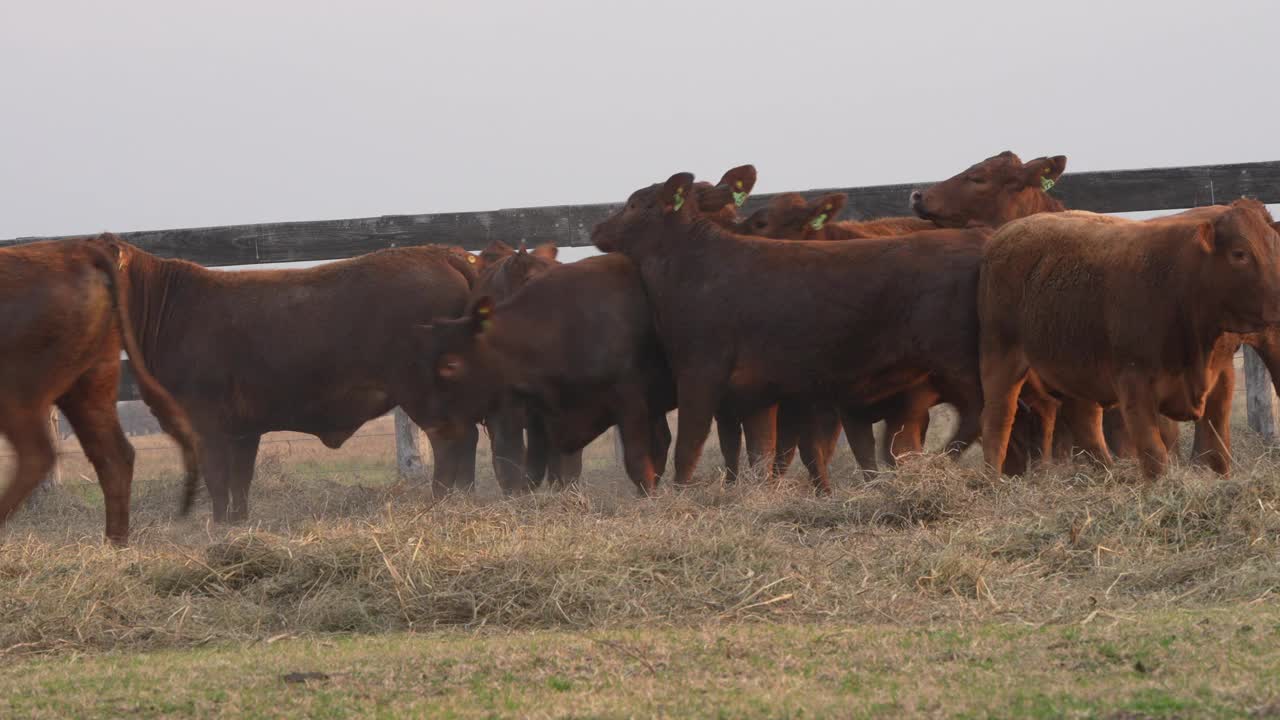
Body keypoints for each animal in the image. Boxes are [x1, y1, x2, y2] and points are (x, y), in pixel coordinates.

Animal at [99, 238, 481, 517]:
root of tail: (441, 253)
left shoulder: (204, 422)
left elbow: (218, 481)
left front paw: (218, 526)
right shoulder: (243, 428)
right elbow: (240, 481)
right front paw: (236, 524)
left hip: (422, 389)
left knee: (450, 440)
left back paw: (440, 502)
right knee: (468, 437)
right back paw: (464, 498)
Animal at [593, 170, 993, 489]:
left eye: (633, 203)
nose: (597, 228)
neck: (691, 268)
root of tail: (979, 240)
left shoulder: (700, 371)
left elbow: (690, 445)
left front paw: (679, 493)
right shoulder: (756, 390)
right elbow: (761, 450)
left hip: (958, 359)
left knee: (986, 410)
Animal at [972, 198, 1280, 476]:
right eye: (1239, 253)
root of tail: (1005, 233)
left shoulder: (1221, 376)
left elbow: (1216, 448)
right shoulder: (1134, 383)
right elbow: (1155, 454)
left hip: (1076, 368)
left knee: (1084, 421)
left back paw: (1109, 475)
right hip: (1001, 357)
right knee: (997, 419)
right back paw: (991, 480)